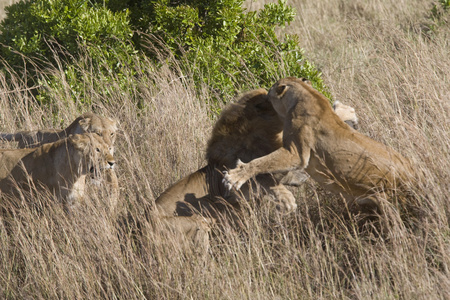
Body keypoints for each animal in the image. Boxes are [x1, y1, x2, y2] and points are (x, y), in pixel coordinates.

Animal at [223, 77, 416, 213]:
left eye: (269, 94)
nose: (262, 96)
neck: (307, 93)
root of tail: (415, 172)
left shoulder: (296, 153)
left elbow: (263, 161)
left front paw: (234, 176)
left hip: (389, 200)